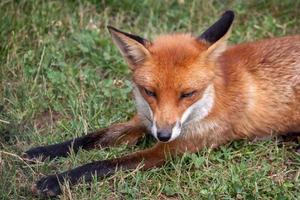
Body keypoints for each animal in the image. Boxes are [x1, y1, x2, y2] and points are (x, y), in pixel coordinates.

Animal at [22, 10, 300, 196]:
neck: (212, 99)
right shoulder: (146, 120)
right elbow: (88, 139)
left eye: (188, 94)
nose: (163, 135)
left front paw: (57, 180)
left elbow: (104, 164)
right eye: (150, 92)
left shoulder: (174, 148)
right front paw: (40, 152)